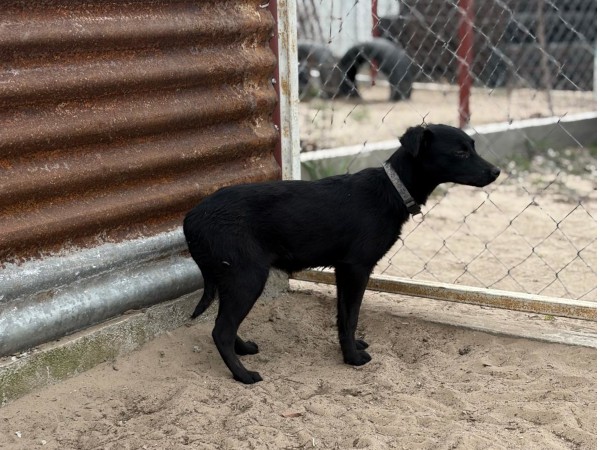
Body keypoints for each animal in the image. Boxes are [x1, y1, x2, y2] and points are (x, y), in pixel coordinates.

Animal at [183, 124, 500, 384]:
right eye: (460, 152)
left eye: (472, 147)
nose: (497, 172)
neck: (392, 189)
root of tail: (191, 218)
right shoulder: (356, 268)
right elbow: (351, 316)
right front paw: (353, 359)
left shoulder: (341, 270)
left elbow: (342, 315)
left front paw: (352, 347)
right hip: (247, 277)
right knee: (220, 331)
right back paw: (243, 375)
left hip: (232, 277)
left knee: (223, 324)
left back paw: (244, 348)